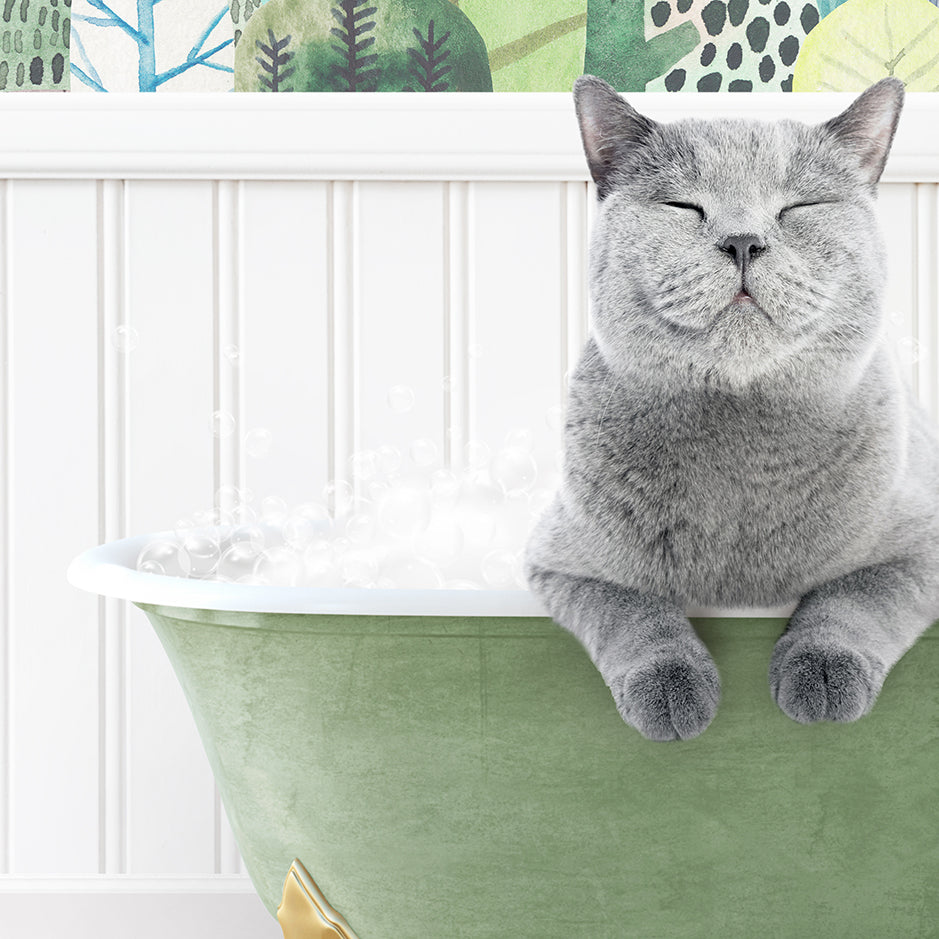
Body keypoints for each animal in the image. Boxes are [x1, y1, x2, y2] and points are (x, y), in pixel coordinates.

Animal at [524, 75, 939, 740]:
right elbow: (633, 609)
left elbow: (854, 597)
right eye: (683, 207)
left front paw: (823, 675)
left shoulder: (922, 545)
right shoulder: (564, 562)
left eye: (798, 208)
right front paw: (672, 689)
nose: (743, 241)